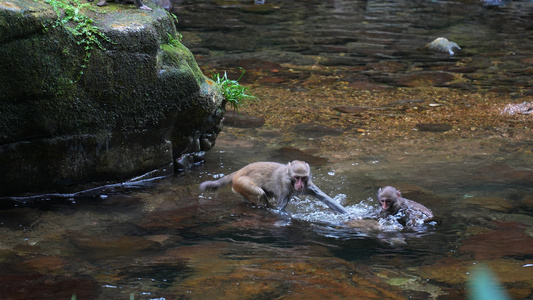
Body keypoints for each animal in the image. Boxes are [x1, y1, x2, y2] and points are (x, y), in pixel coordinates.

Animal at [197, 161, 348, 214]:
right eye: (296, 177)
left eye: (303, 177)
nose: (299, 185)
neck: (290, 179)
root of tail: (238, 172)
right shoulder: (285, 186)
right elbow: (280, 208)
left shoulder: (309, 185)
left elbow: (325, 198)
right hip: (241, 183)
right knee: (259, 194)